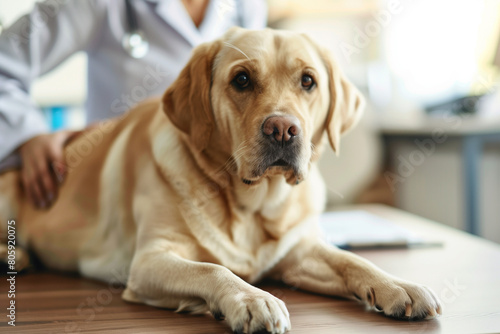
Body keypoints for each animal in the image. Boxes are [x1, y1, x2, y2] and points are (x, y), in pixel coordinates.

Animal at [0, 27, 440, 332]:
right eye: (241, 80)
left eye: (308, 81)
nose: (283, 129)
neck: (251, 206)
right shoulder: (149, 260)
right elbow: (212, 269)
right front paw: (252, 299)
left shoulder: (297, 253)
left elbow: (352, 260)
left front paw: (398, 285)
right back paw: (15, 255)